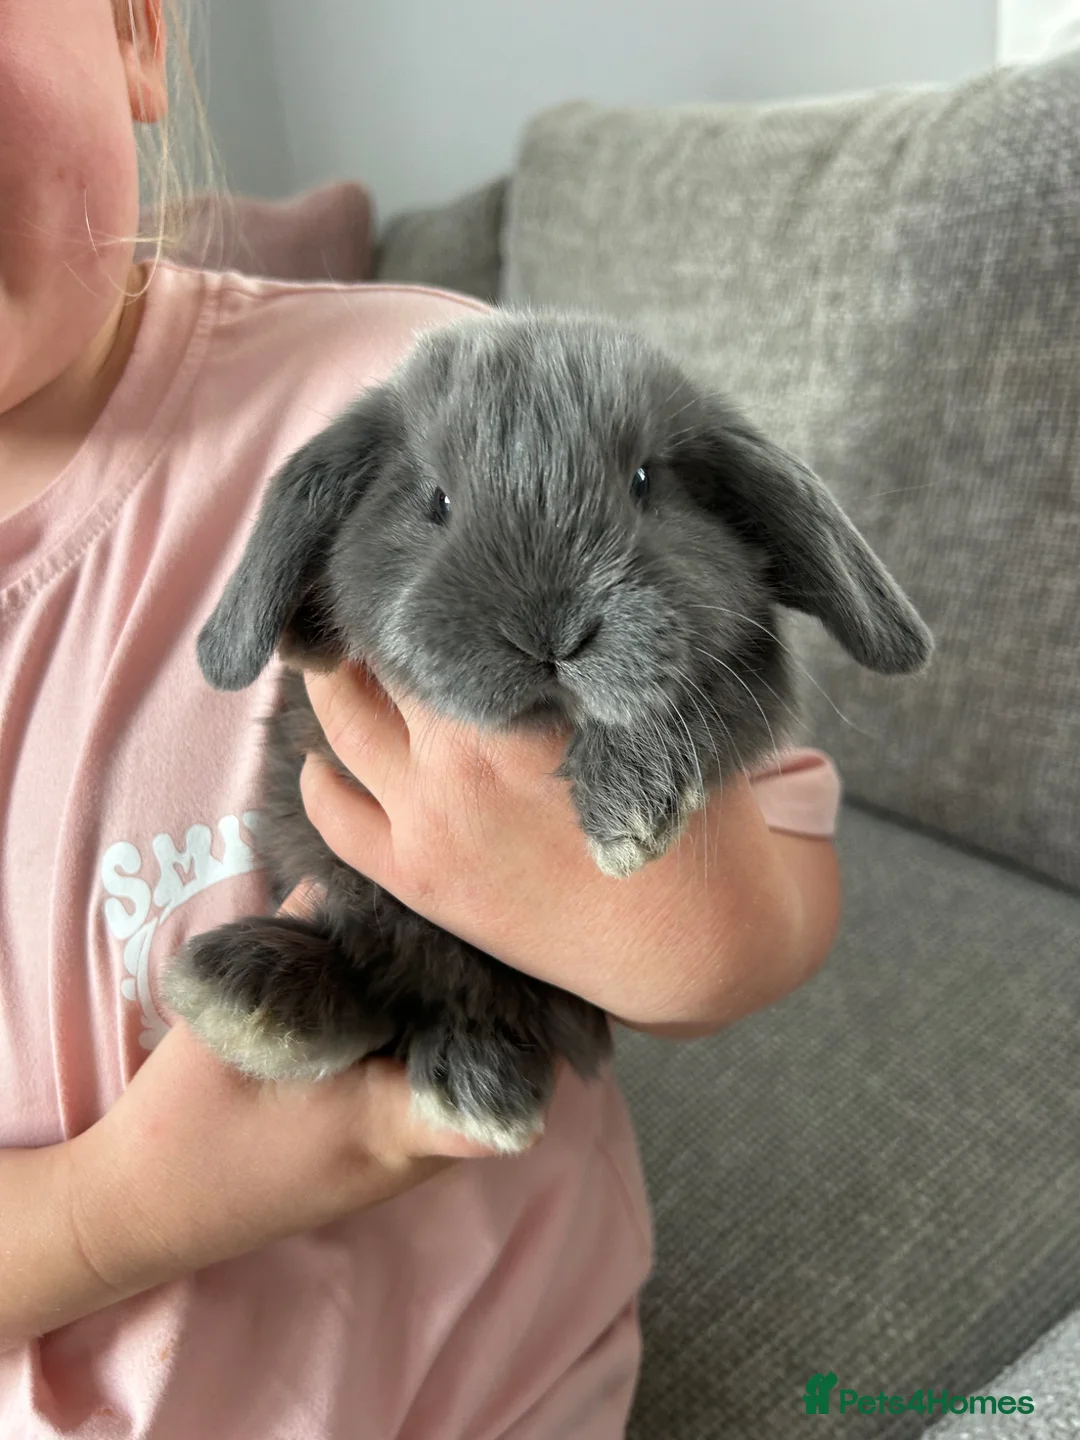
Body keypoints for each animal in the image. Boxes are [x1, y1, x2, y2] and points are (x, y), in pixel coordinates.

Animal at [164, 308, 932, 1153]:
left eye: (643, 482)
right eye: (436, 501)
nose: (551, 635)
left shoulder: (742, 679)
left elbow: (685, 700)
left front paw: (626, 815)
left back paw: (464, 1073)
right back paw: (258, 997)